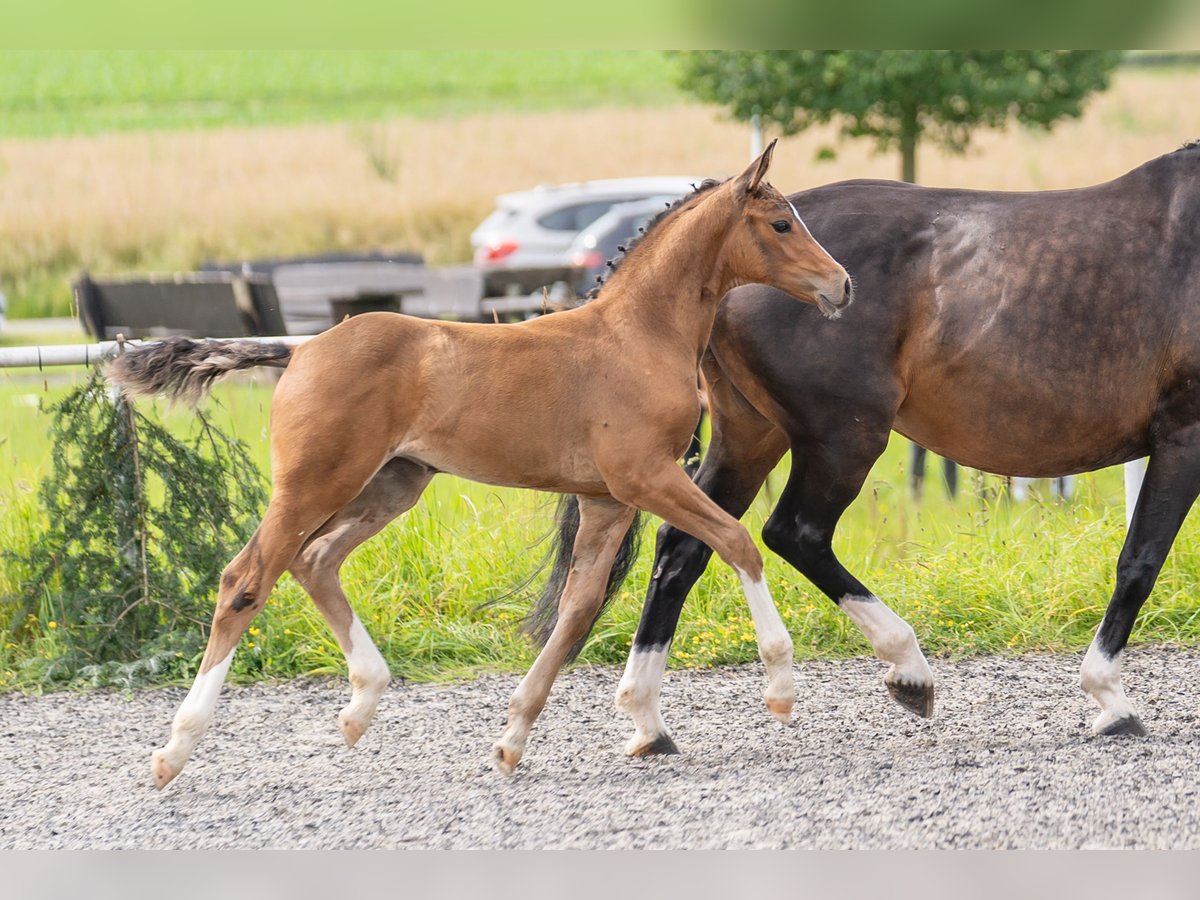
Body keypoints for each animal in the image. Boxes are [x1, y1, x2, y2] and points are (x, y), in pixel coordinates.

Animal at [108, 141, 849, 787]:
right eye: (781, 222)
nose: (841, 286)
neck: (638, 335)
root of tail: (302, 349)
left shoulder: (607, 499)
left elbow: (577, 610)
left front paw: (513, 738)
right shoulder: (645, 476)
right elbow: (735, 541)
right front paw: (781, 687)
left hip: (390, 485)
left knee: (314, 561)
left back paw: (361, 706)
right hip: (315, 483)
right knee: (247, 578)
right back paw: (176, 750)